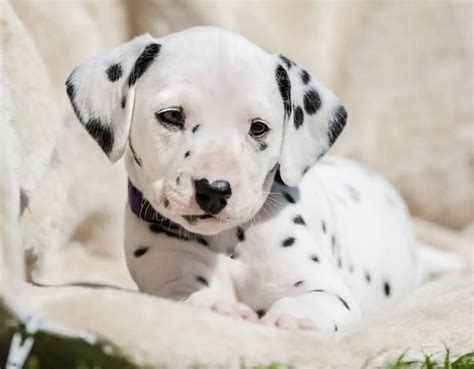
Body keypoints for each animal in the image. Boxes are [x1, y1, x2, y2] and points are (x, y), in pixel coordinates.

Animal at [65, 26, 418, 330]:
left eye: (258, 127)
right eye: (171, 116)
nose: (214, 190)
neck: (227, 241)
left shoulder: (327, 290)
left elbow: (313, 300)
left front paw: (293, 317)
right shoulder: (172, 282)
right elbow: (188, 299)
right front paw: (217, 307)